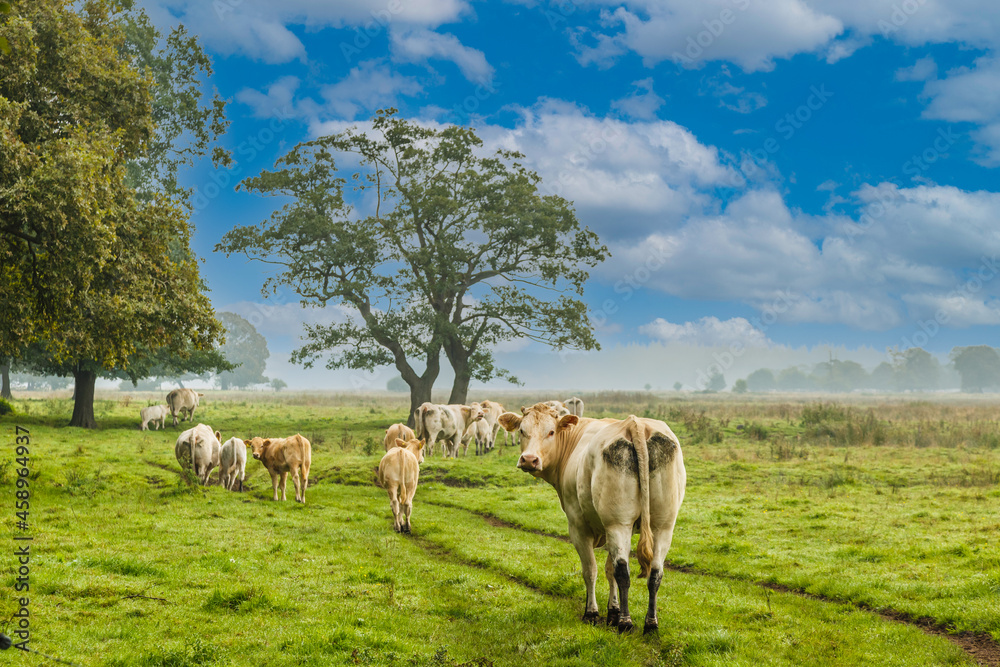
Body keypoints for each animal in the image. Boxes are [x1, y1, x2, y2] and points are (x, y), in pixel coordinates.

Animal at [498, 403, 685, 634]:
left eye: (550, 432)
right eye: (522, 431)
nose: (529, 459)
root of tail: (635, 424)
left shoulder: (578, 527)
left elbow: (591, 570)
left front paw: (593, 613)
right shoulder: (610, 529)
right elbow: (608, 569)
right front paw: (613, 612)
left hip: (619, 523)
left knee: (623, 572)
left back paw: (626, 622)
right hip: (662, 525)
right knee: (655, 574)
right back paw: (650, 624)